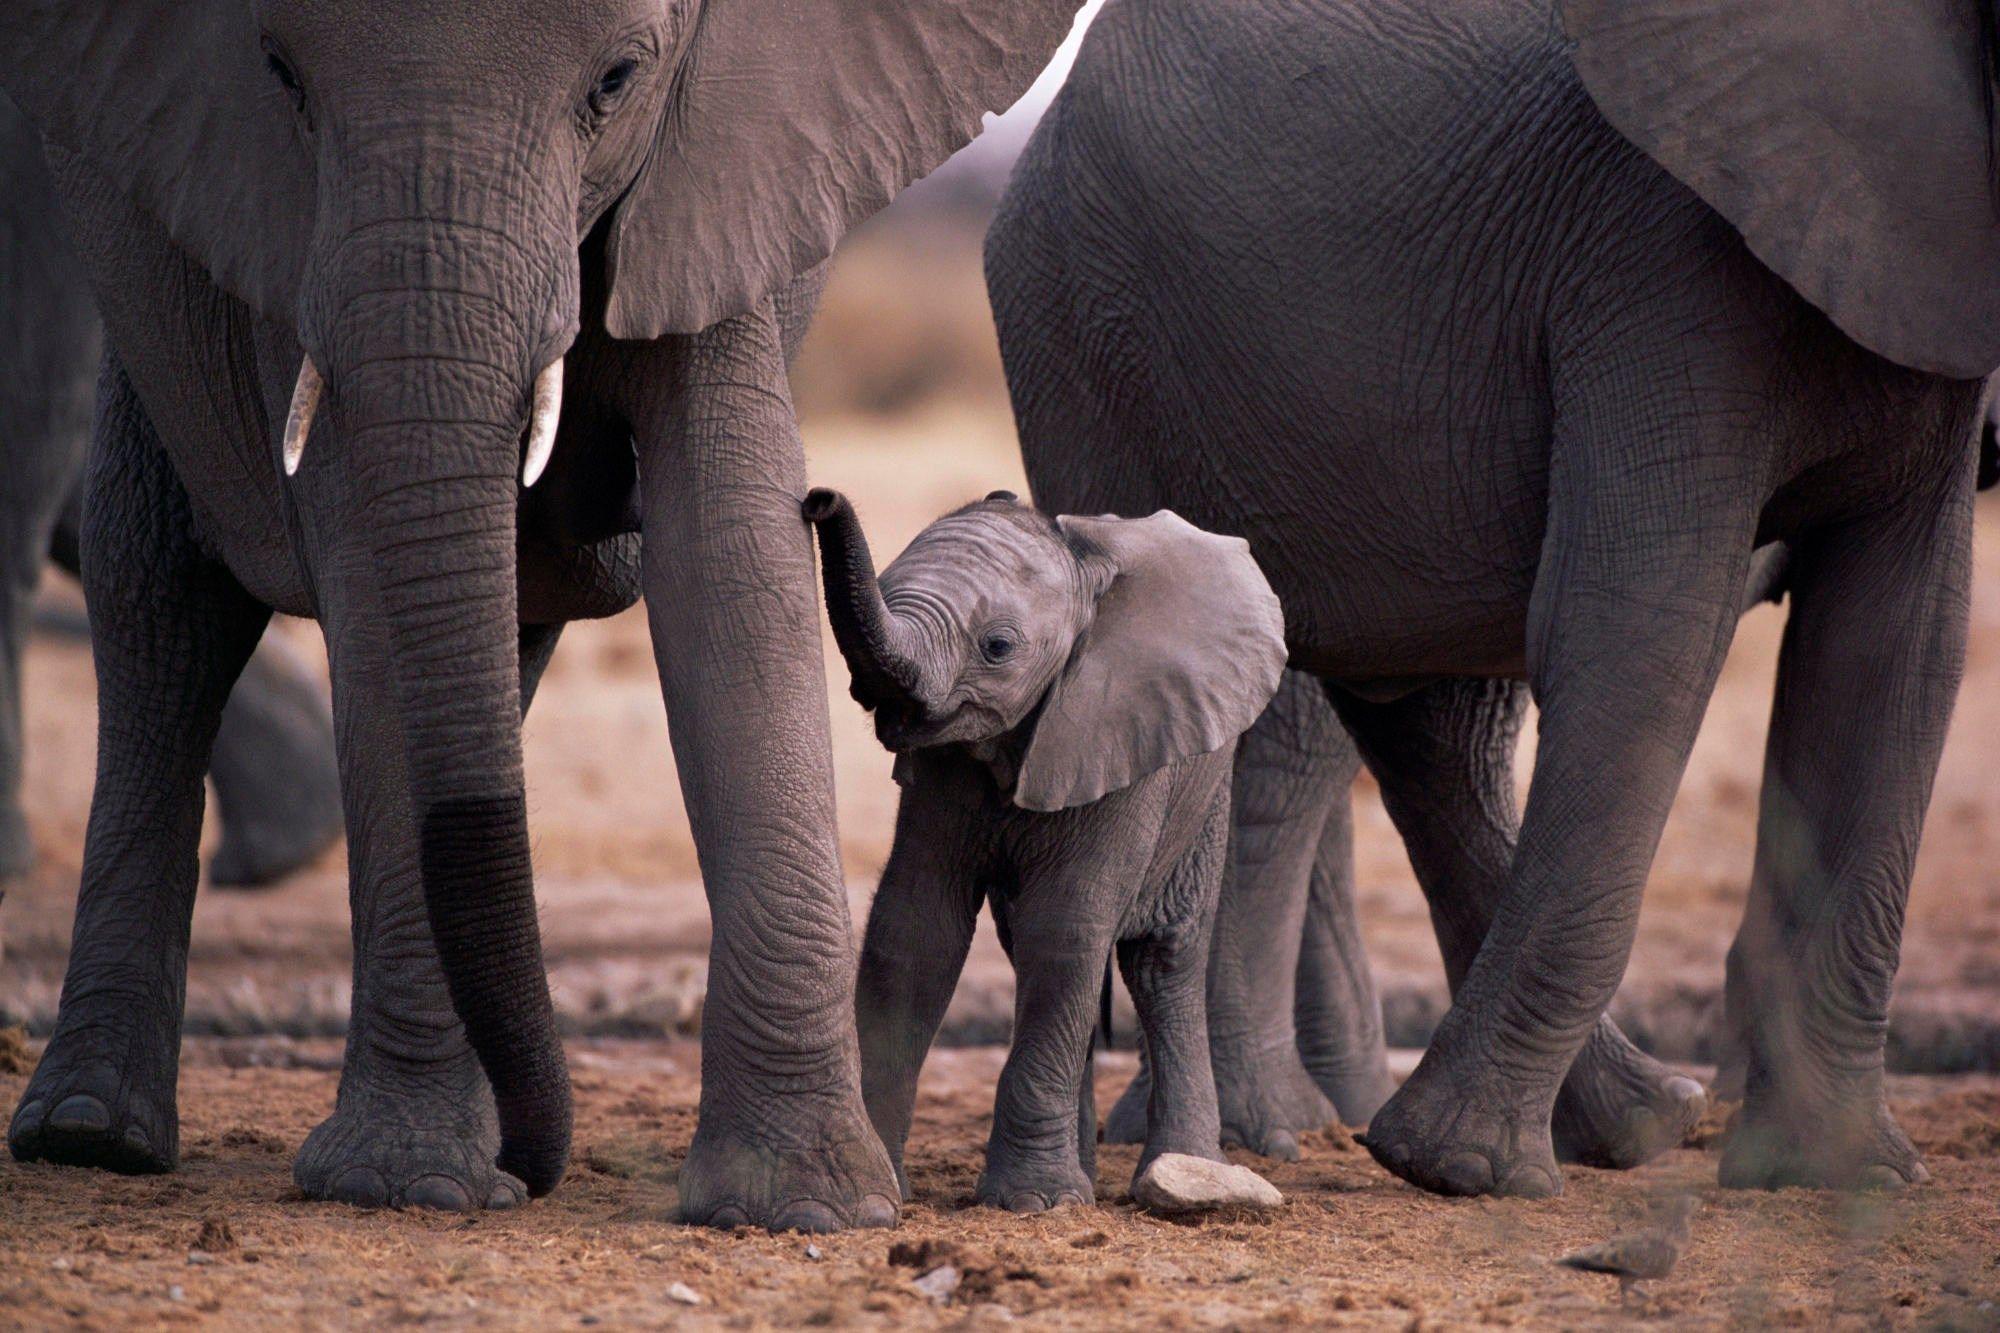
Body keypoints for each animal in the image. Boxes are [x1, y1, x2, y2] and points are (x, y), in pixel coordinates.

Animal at [804, 488, 1286, 1214]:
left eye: (997, 647)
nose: (818, 498)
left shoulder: (1117, 732)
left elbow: (1064, 930)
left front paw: (1034, 1202)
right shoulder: (941, 770)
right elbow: (914, 932)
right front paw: (888, 1184)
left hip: (1204, 794)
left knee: (1161, 961)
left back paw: (1181, 1169)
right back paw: (1083, 1175)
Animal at [987, 0, 1989, 1199]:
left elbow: (1894, 652)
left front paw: (1835, 1177)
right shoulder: (1659, 260)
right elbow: (1639, 631)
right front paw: (1456, 1169)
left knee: (1425, 718)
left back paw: (1634, 1123)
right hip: (1086, 331)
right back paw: (1329, 1144)